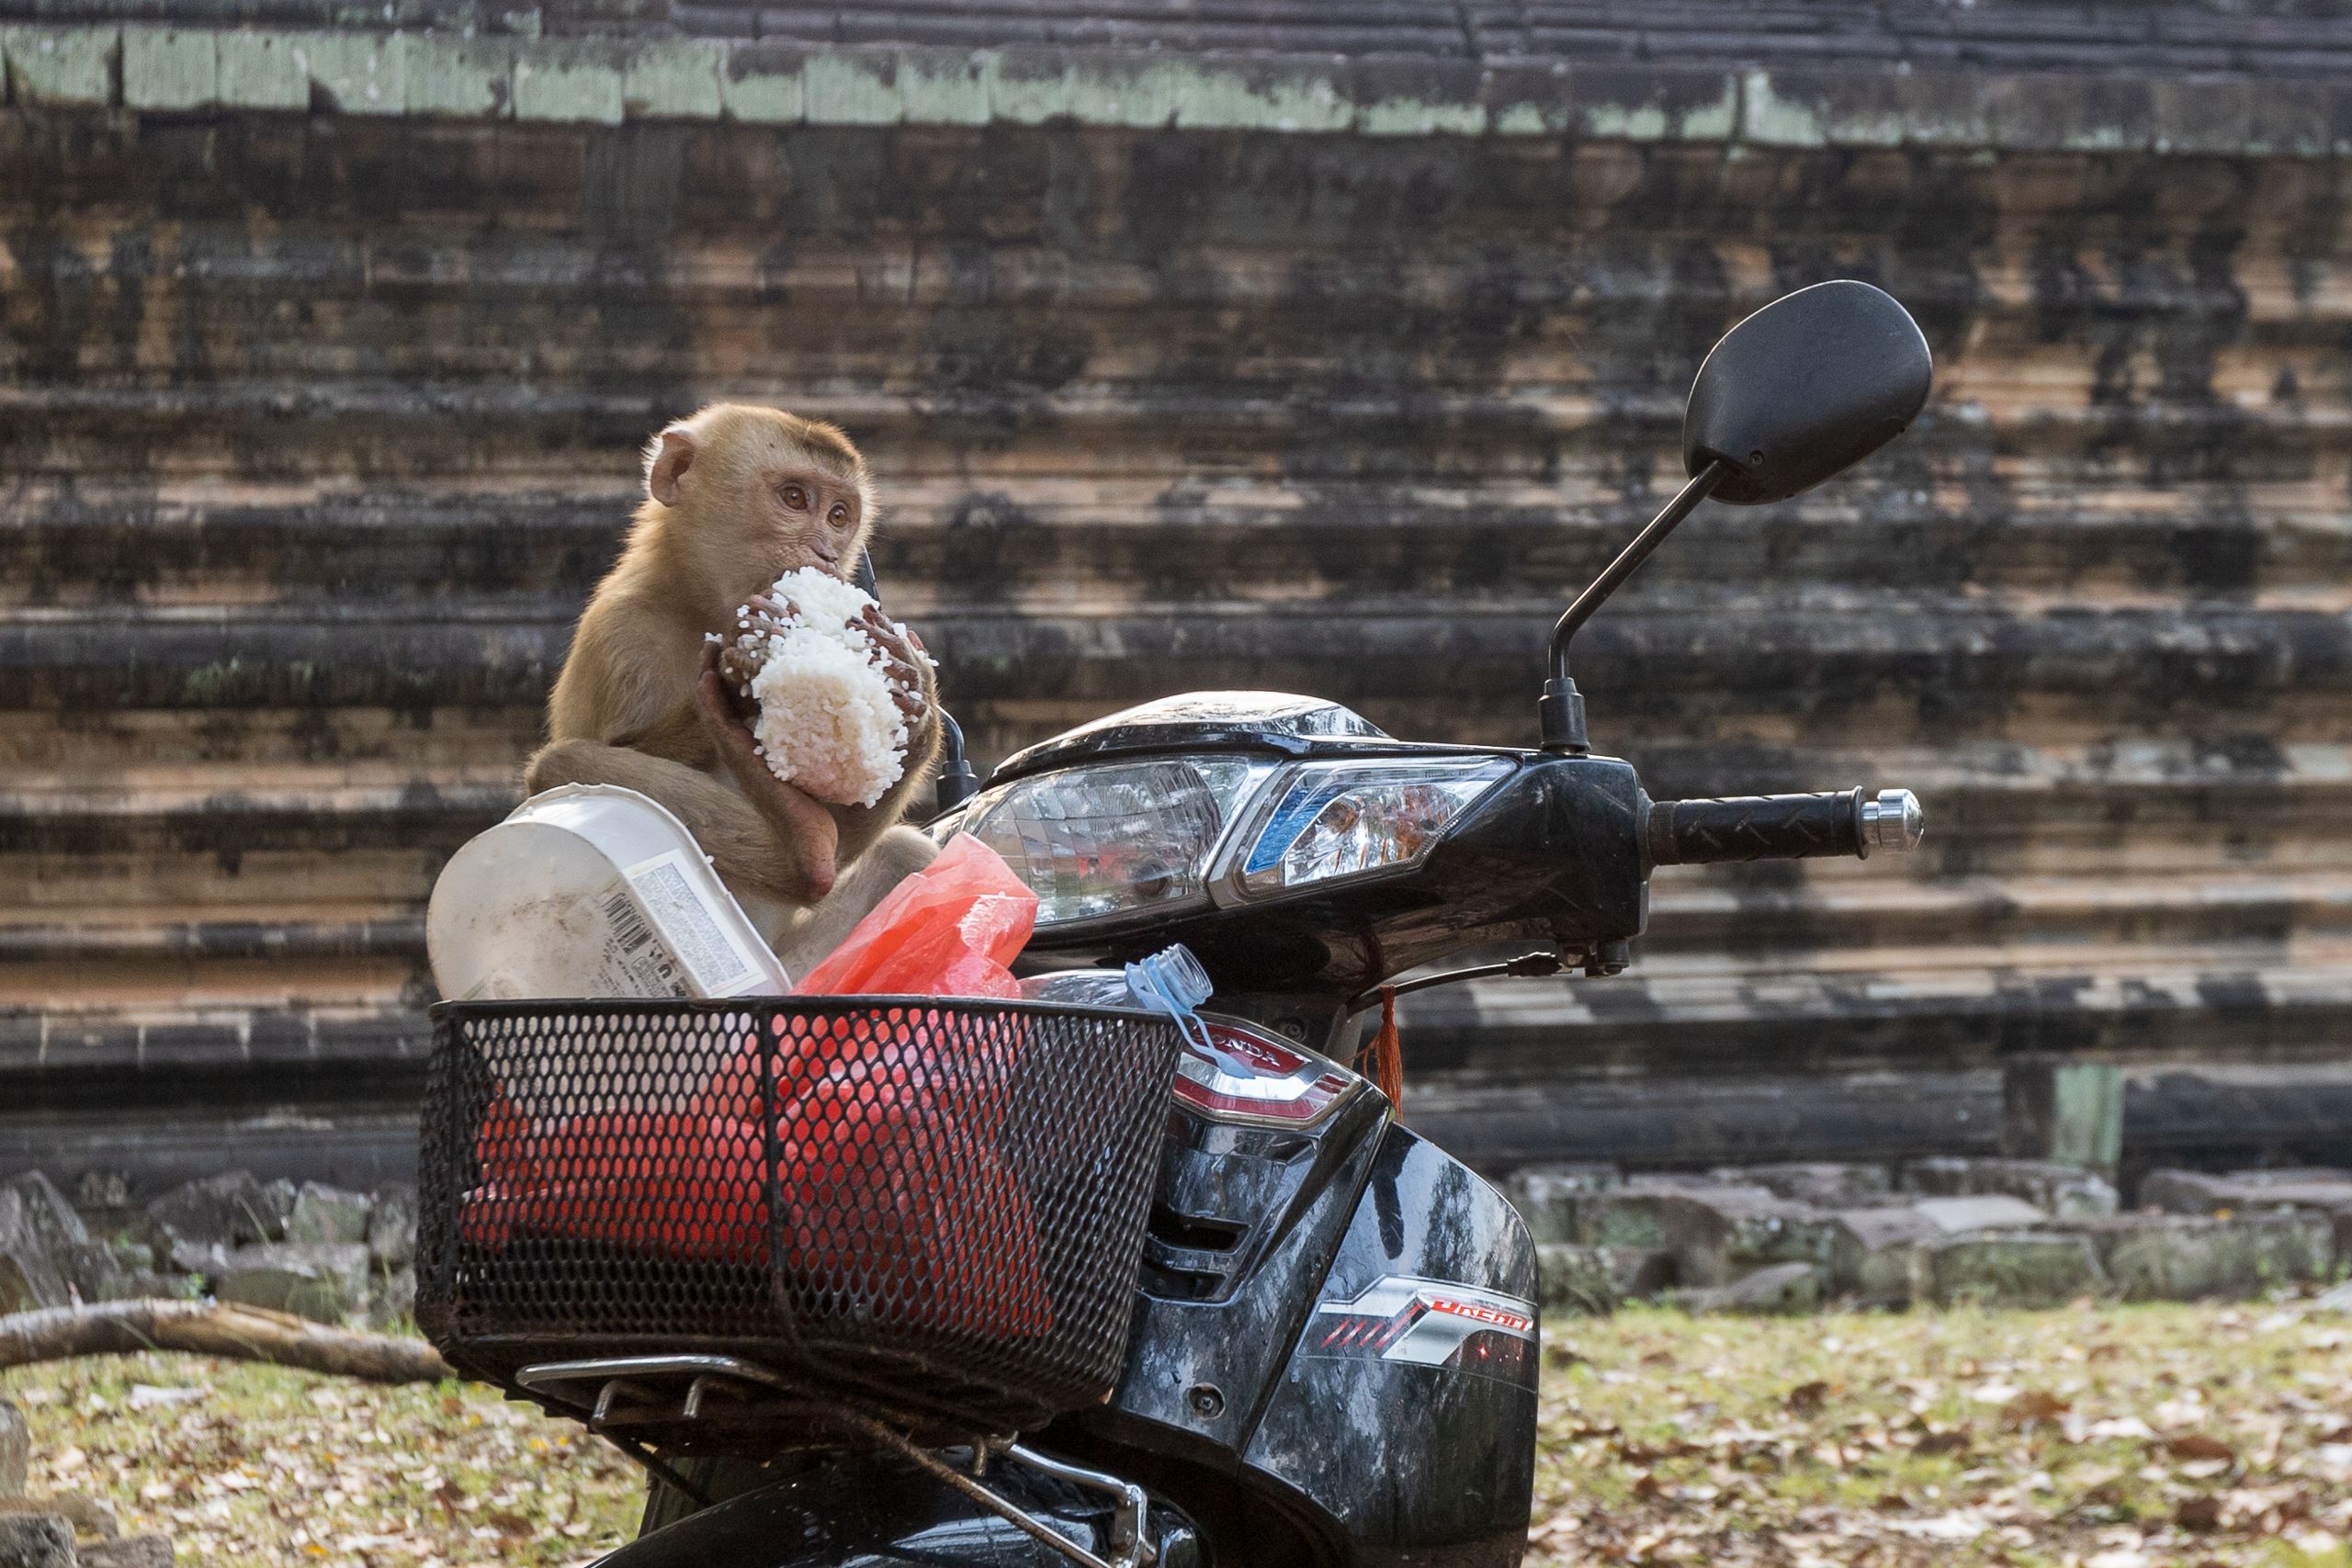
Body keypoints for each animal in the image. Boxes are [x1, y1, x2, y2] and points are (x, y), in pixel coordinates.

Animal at [524, 403, 943, 977]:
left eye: (839, 516)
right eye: (794, 499)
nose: (826, 555)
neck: (699, 607)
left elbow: (851, 821)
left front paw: (913, 683)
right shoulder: (623, 638)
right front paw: (738, 675)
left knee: (904, 855)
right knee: (557, 766)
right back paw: (802, 846)